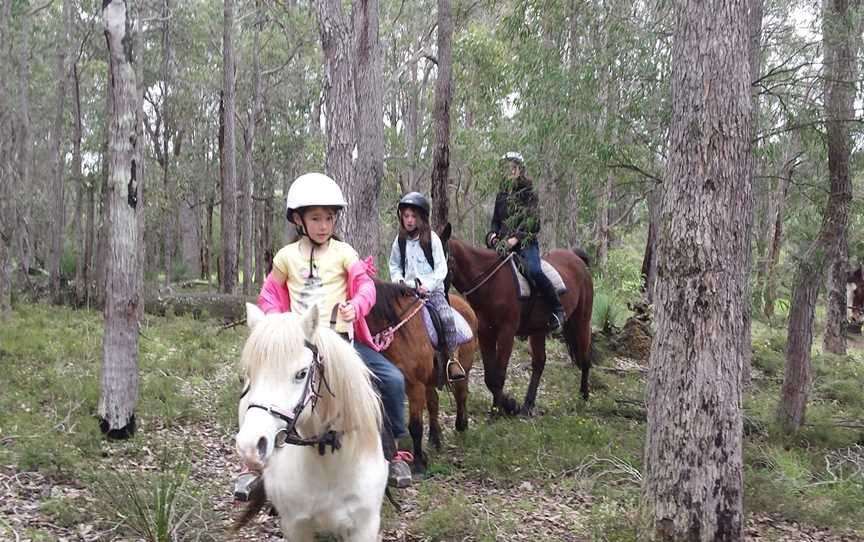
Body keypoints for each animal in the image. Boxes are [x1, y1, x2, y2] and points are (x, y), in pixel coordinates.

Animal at [235, 304, 386, 540]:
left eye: (302, 373)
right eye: (249, 374)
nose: (250, 447)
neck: (329, 462)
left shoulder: (364, 527)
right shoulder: (295, 526)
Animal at [364, 280, 480, 476]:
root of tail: (465, 305)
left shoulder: (414, 384)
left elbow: (415, 426)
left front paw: (418, 462)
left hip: (463, 368)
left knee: (461, 396)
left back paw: (461, 425)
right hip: (430, 379)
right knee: (434, 403)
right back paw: (435, 437)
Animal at [442, 225, 592, 416]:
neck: (491, 283)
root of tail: (577, 258)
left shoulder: (507, 332)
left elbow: (499, 374)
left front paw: (497, 412)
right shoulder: (485, 333)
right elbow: (490, 376)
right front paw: (509, 405)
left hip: (582, 320)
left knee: (585, 357)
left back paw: (584, 396)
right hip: (538, 330)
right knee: (539, 362)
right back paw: (527, 405)